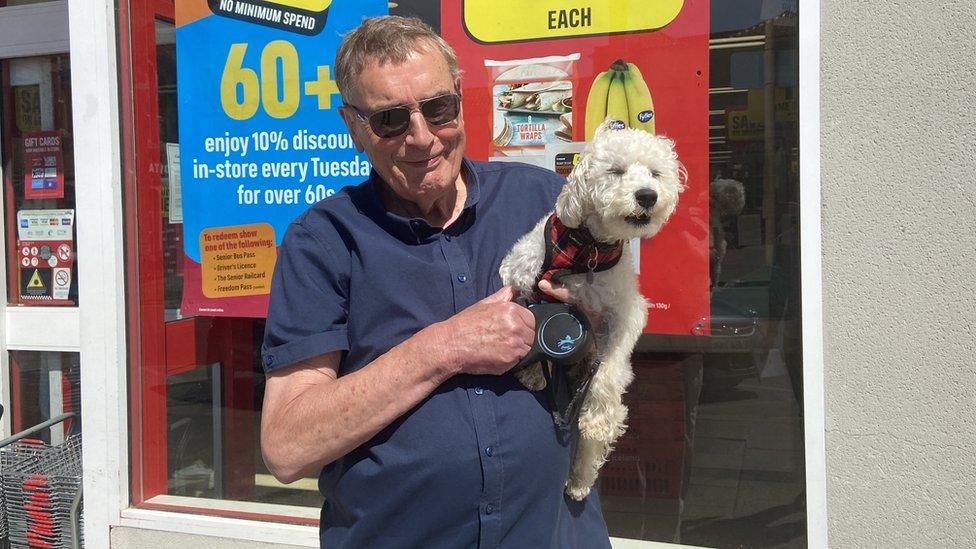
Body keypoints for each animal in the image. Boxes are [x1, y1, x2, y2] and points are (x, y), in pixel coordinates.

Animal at [504, 122, 688, 498]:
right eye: (616, 171)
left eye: (655, 173)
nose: (647, 195)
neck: (588, 250)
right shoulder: (518, 273)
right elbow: (524, 310)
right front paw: (533, 369)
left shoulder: (626, 314)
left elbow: (609, 371)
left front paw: (598, 420)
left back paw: (580, 478)